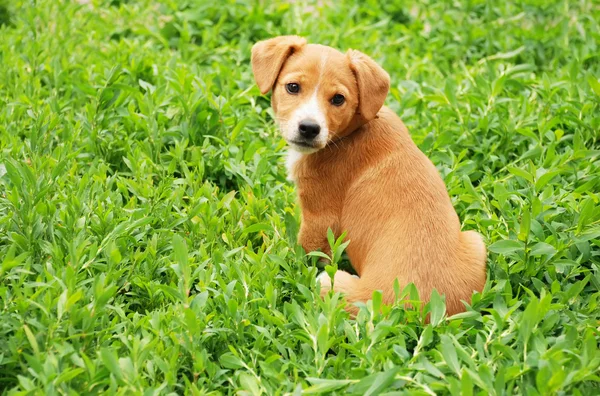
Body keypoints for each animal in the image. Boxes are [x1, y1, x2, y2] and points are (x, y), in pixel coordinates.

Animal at [251, 36, 486, 316]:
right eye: (293, 87)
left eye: (338, 99)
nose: (309, 128)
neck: (353, 130)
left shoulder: (319, 217)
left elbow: (305, 253)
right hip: (476, 241)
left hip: (330, 282)